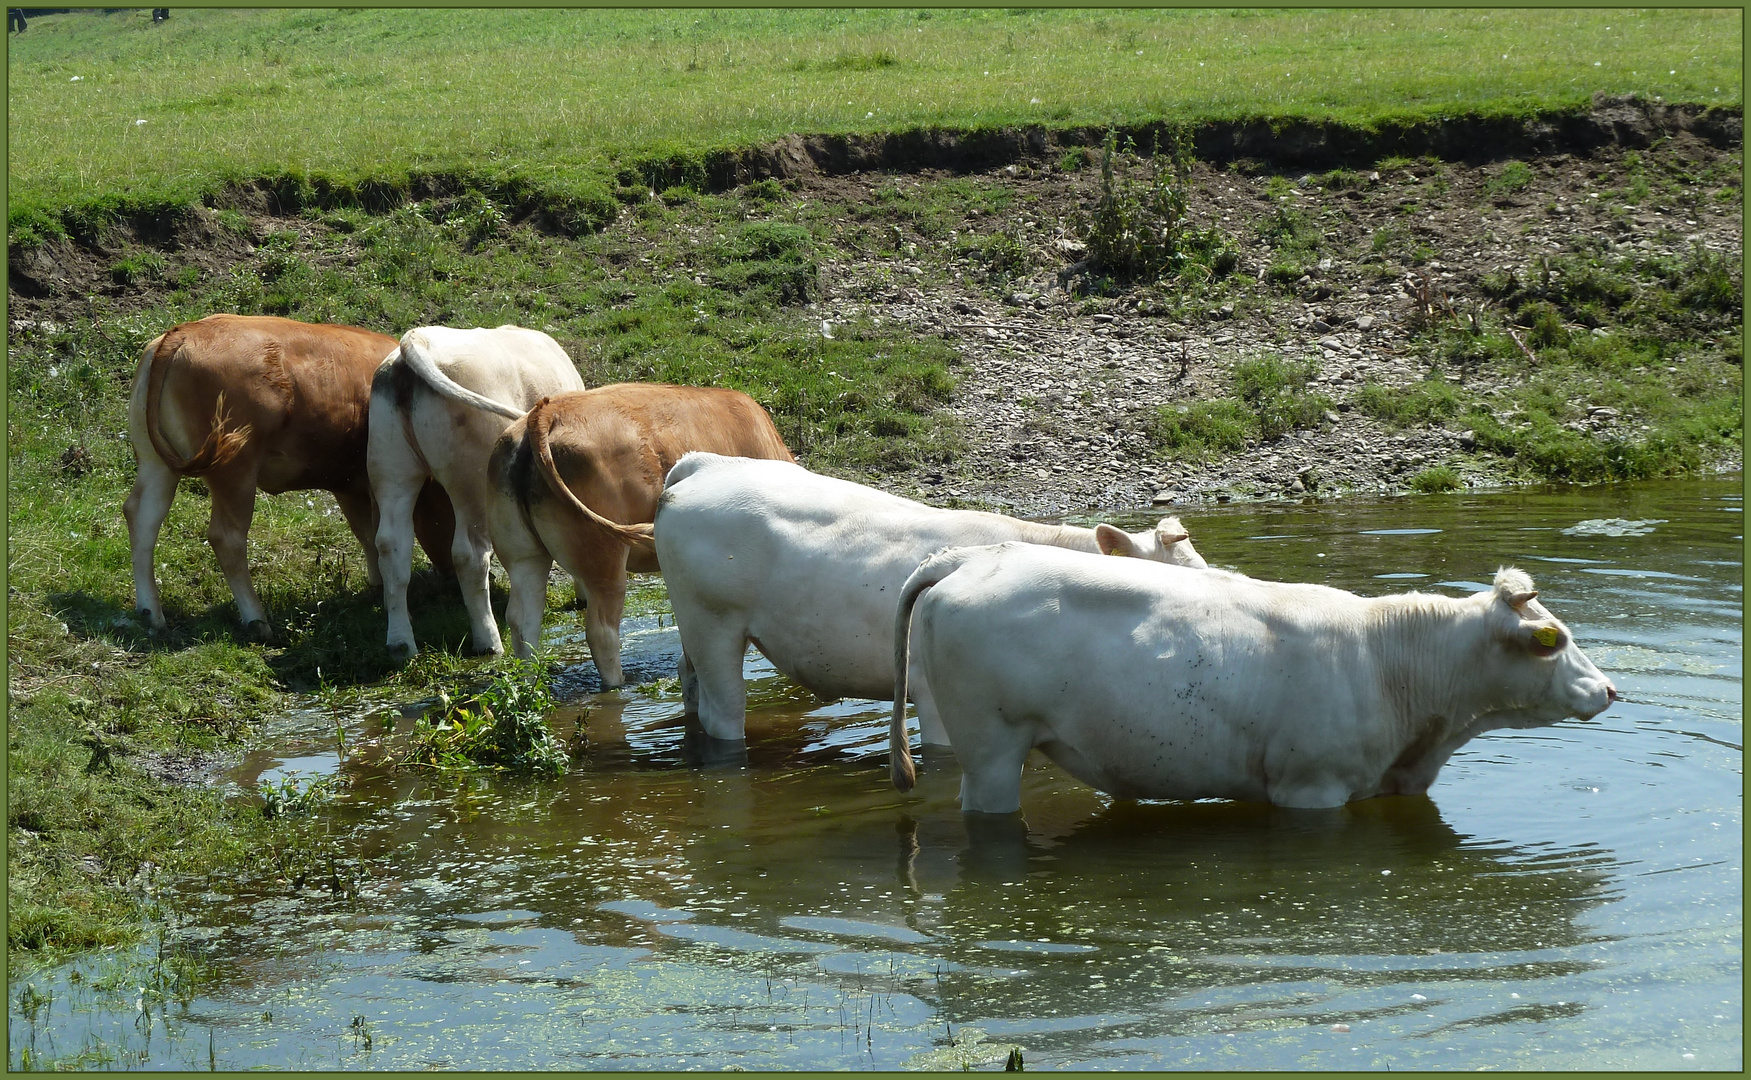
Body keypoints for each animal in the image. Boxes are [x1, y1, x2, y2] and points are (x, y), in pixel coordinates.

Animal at [127, 313, 458, 640]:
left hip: (156, 464)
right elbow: (379, 534)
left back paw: (151, 612)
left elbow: (365, 533)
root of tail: (183, 331)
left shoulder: (349, 484)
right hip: (235, 470)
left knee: (142, 518)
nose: (449, 579)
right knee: (226, 538)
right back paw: (256, 620)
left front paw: (376, 584)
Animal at [369, 322, 588, 658]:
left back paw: (401, 644)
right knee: (469, 554)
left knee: (392, 547)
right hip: (472, 481)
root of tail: (417, 341)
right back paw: (488, 640)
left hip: (391, 469)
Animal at [479, 383, 794, 682]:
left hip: (522, 555)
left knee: (523, 622)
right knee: (601, 631)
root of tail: (545, 412)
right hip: (604, 557)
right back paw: (618, 684)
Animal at [651, 451, 1211, 742]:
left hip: (694, 630)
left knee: (688, 680)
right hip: (712, 624)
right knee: (724, 709)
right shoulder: (932, 697)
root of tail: (705, 464)